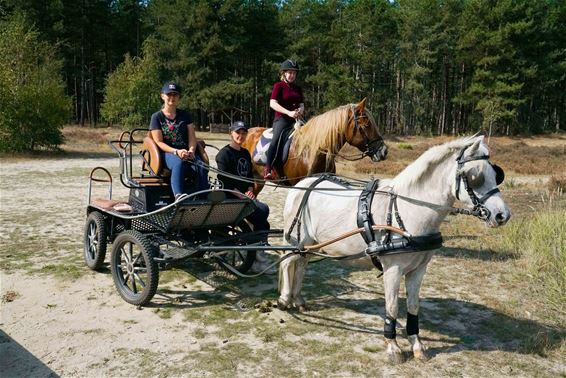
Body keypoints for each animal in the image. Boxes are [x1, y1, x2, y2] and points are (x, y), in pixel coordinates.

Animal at [282, 136, 512, 364]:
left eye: (496, 174)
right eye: (475, 177)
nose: (503, 215)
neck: (409, 210)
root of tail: (302, 184)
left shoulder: (419, 270)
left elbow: (413, 306)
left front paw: (417, 344)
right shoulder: (393, 269)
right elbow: (392, 307)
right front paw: (393, 346)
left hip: (308, 245)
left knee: (301, 265)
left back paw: (298, 299)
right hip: (295, 240)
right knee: (286, 262)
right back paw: (284, 299)